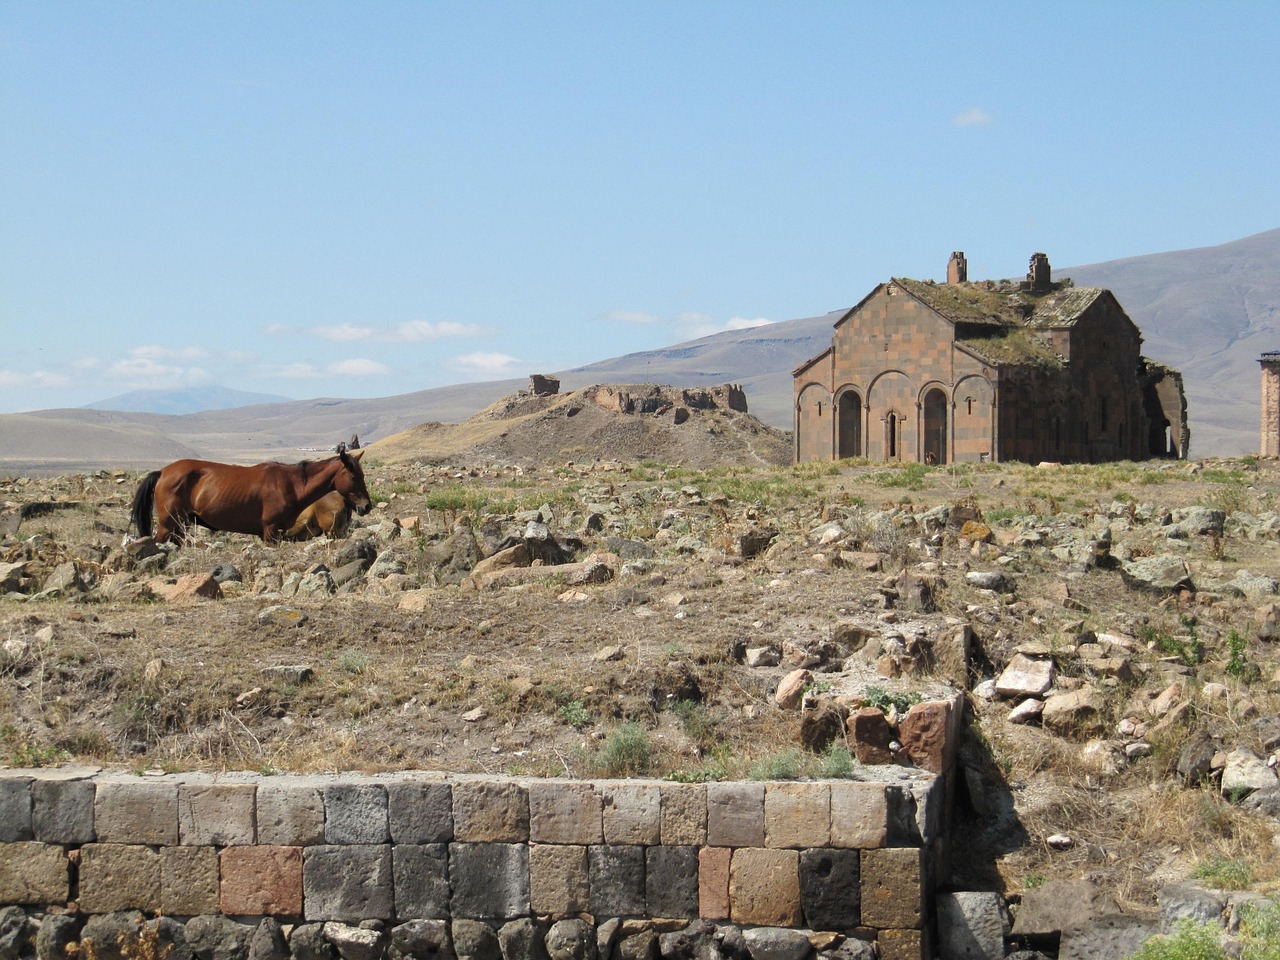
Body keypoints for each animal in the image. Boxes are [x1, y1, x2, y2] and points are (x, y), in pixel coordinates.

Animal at [131, 445, 373, 545]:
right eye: (354, 476)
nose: (366, 506)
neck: (291, 484)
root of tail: (163, 472)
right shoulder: (270, 531)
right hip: (168, 525)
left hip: (180, 526)